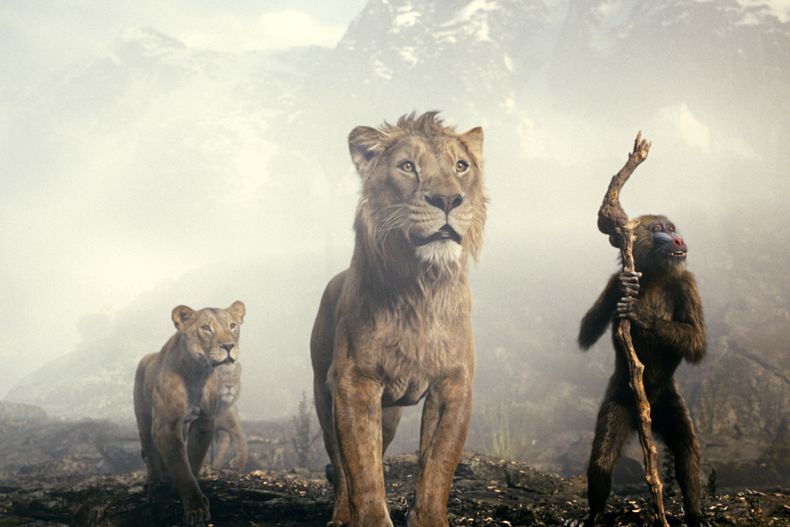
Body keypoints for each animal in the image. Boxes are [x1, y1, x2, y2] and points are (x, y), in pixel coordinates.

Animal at [133, 301, 245, 526]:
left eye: (232, 326)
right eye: (206, 328)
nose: (228, 346)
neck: (197, 373)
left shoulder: (204, 422)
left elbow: (192, 460)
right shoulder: (165, 426)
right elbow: (180, 466)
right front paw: (196, 509)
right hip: (143, 419)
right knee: (150, 451)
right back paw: (155, 486)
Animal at [311, 112, 486, 527]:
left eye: (461, 166)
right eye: (407, 166)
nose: (447, 199)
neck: (421, 287)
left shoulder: (453, 385)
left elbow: (437, 466)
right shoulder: (354, 383)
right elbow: (363, 470)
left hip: (388, 414)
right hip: (324, 395)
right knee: (340, 466)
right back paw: (340, 515)